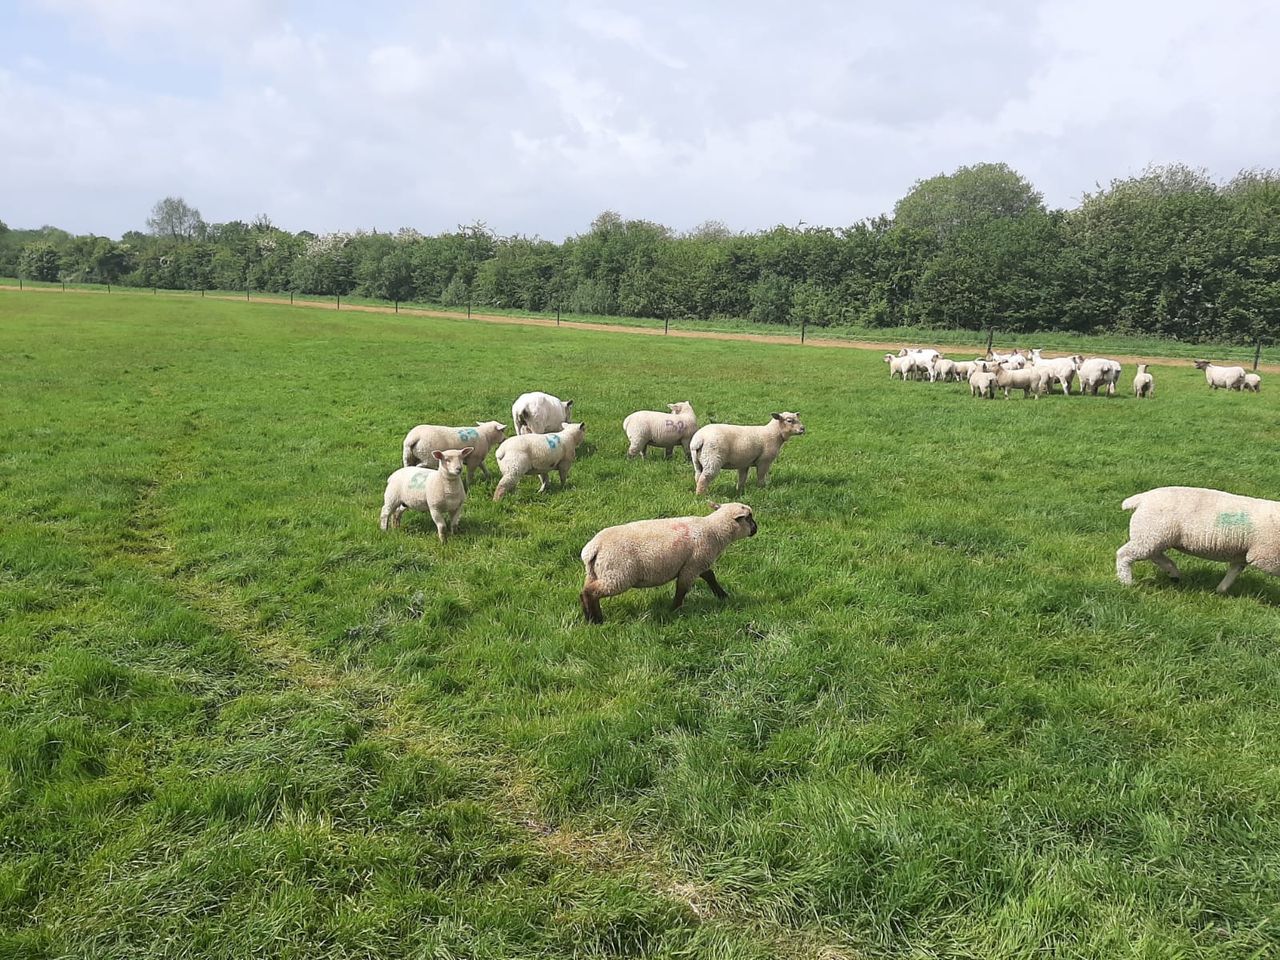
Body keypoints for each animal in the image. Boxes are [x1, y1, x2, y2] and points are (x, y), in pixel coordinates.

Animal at [579, 502, 758, 623]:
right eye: (749, 518)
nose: (756, 528)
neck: (713, 530)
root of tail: (593, 548)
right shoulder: (692, 566)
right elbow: (682, 589)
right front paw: (675, 610)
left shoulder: (697, 563)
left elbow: (710, 576)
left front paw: (722, 595)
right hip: (618, 575)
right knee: (591, 592)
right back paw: (597, 620)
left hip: (595, 573)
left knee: (584, 592)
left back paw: (589, 618)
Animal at [1116, 486, 1280, 593]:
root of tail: (1142, 498)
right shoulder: (1265, 555)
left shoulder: (1243, 554)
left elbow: (1234, 570)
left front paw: (1220, 590)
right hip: (1151, 533)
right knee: (1124, 555)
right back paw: (1126, 582)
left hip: (1154, 535)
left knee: (1154, 555)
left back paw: (1173, 573)